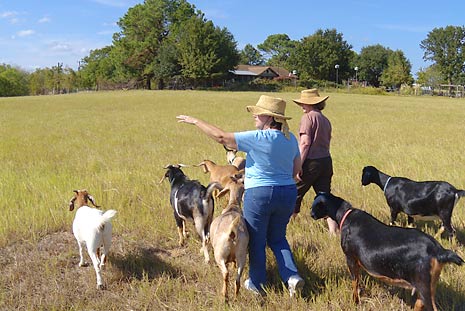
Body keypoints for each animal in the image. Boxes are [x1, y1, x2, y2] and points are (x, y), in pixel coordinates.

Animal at [310, 193, 462, 311]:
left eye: (316, 205)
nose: (311, 214)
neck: (346, 216)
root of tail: (438, 250)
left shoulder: (351, 258)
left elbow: (355, 282)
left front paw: (355, 302)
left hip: (423, 285)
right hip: (430, 284)